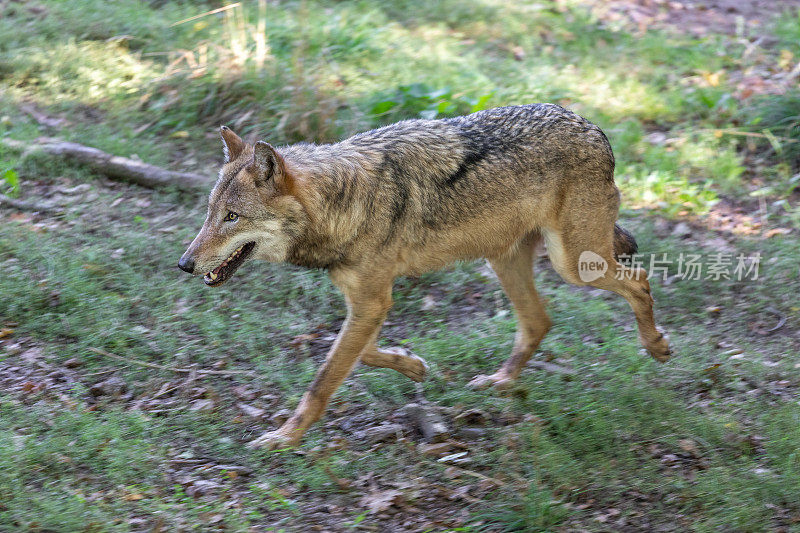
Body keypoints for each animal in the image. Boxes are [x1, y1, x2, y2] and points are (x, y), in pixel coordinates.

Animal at [178, 102, 672, 446]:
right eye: (210, 212)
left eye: (233, 217)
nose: (184, 264)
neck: (344, 201)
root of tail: (593, 127)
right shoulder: (368, 302)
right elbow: (364, 354)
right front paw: (413, 366)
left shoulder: (373, 301)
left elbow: (323, 381)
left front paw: (286, 437)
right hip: (506, 262)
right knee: (539, 321)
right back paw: (500, 382)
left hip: (575, 265)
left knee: (640, 281)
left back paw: (656, 345)